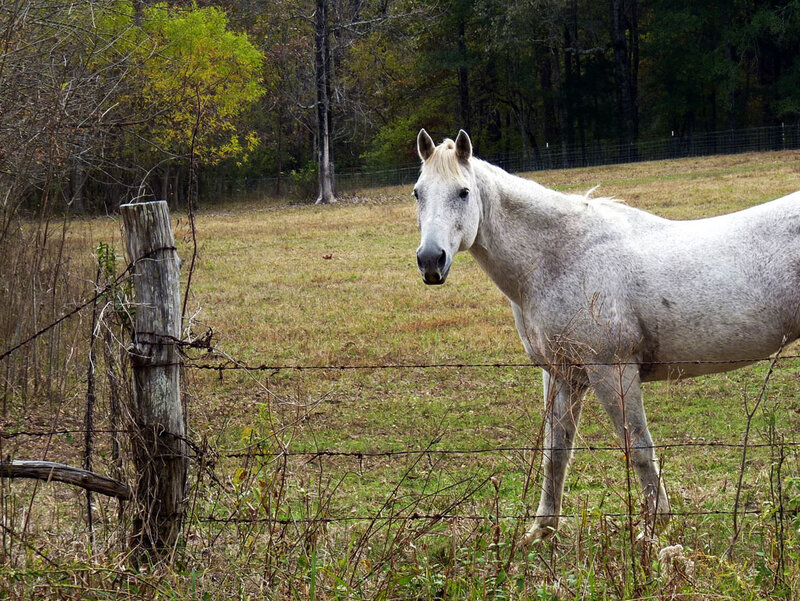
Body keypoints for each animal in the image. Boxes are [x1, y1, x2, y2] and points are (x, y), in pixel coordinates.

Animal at [413, 128, 800, 545]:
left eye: (463, 192)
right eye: (418, 193)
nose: (431, 260)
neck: (561, 256)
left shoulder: (611, 370)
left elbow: (639, 448)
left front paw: (655, 528)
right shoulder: (562, 375)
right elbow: (556, 453)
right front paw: (541, 531)